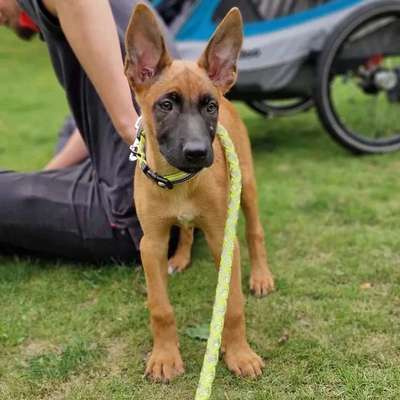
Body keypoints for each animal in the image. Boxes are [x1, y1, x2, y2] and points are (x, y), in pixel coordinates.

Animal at [125, 3, 276, 384]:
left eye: (209, 107)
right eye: (166, 105)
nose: (197, 153)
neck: (180, 182)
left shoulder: (224, 237)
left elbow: (232, 305)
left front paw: (239, 353)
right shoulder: (151, 243)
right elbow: (160, 307)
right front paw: (165, 357)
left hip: (247, 188)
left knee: (255, 231)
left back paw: (262, 276)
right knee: (187, 229)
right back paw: (180, 258)